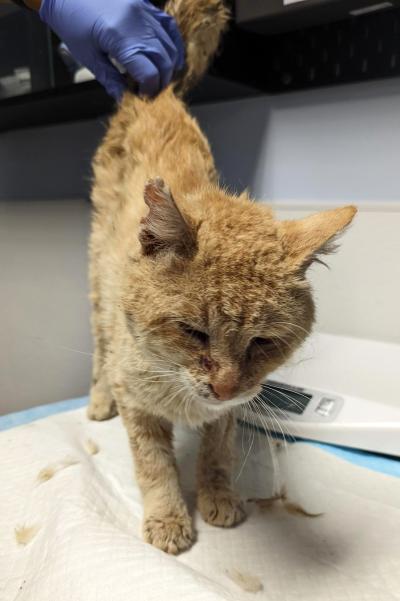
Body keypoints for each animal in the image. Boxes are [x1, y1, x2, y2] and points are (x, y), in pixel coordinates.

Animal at [88, 0, 356, 552]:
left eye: (263, 342)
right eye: (193, 332)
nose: (227, 385)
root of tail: (156, 92)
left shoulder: (230, 412)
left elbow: (217, 453)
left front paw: (218, 498)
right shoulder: (138, 404)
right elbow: (153, 464)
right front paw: (169, 519)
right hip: (97, 275)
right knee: (99, 344)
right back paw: (98, 398)